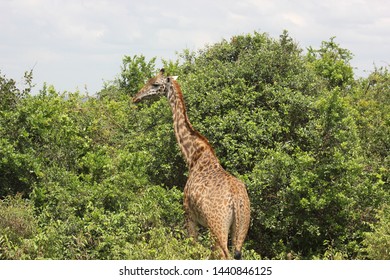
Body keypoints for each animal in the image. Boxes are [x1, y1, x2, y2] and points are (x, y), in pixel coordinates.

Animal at [133, 69, 251, 260]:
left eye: (155, 84)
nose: (135, 97)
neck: (193, 156)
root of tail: (236, 199)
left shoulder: (189, 215)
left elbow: (193, 249)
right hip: (241, 227)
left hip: (217, 226)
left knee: (222, 254)